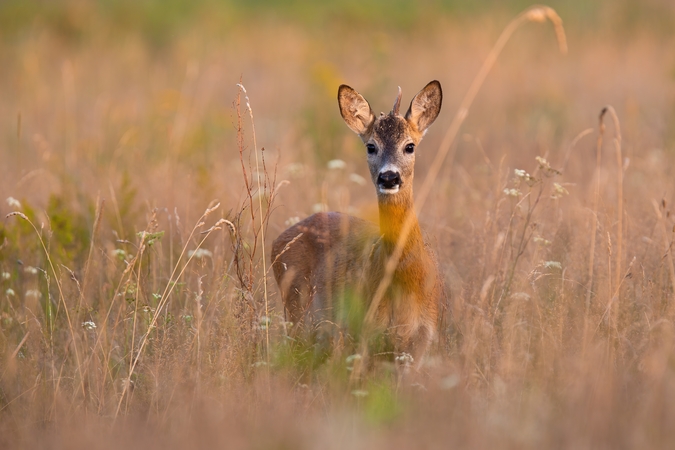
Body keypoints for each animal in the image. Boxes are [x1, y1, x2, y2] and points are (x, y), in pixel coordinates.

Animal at [272, 81, 446, 370]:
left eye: (410, 146)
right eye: (371, 146)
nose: (389, 177)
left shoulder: (422, 337)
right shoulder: (364, 331)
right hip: (297, 309)